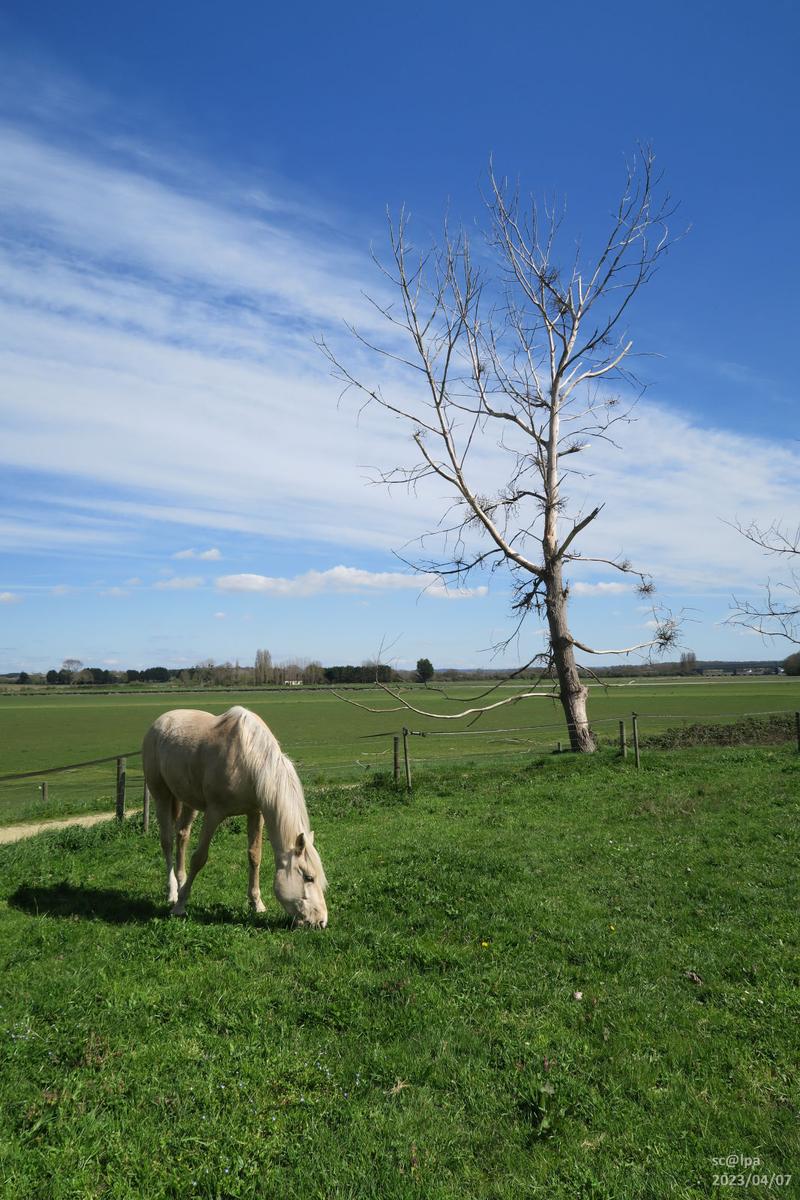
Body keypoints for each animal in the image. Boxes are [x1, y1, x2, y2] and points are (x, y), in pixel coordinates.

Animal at [142, 705, 327, 928]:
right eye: (308, 877)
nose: (321, 921)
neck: (249, 760)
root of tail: (159, 722)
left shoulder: (255, 813)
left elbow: (255, 856)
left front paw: (257, 903)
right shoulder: (214, 813)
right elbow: (199, 858)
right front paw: (179, 907)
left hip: (189, 801)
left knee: (182, 836)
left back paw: (181, 882)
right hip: (161, 794)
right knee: (167, 841)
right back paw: (172, 892)